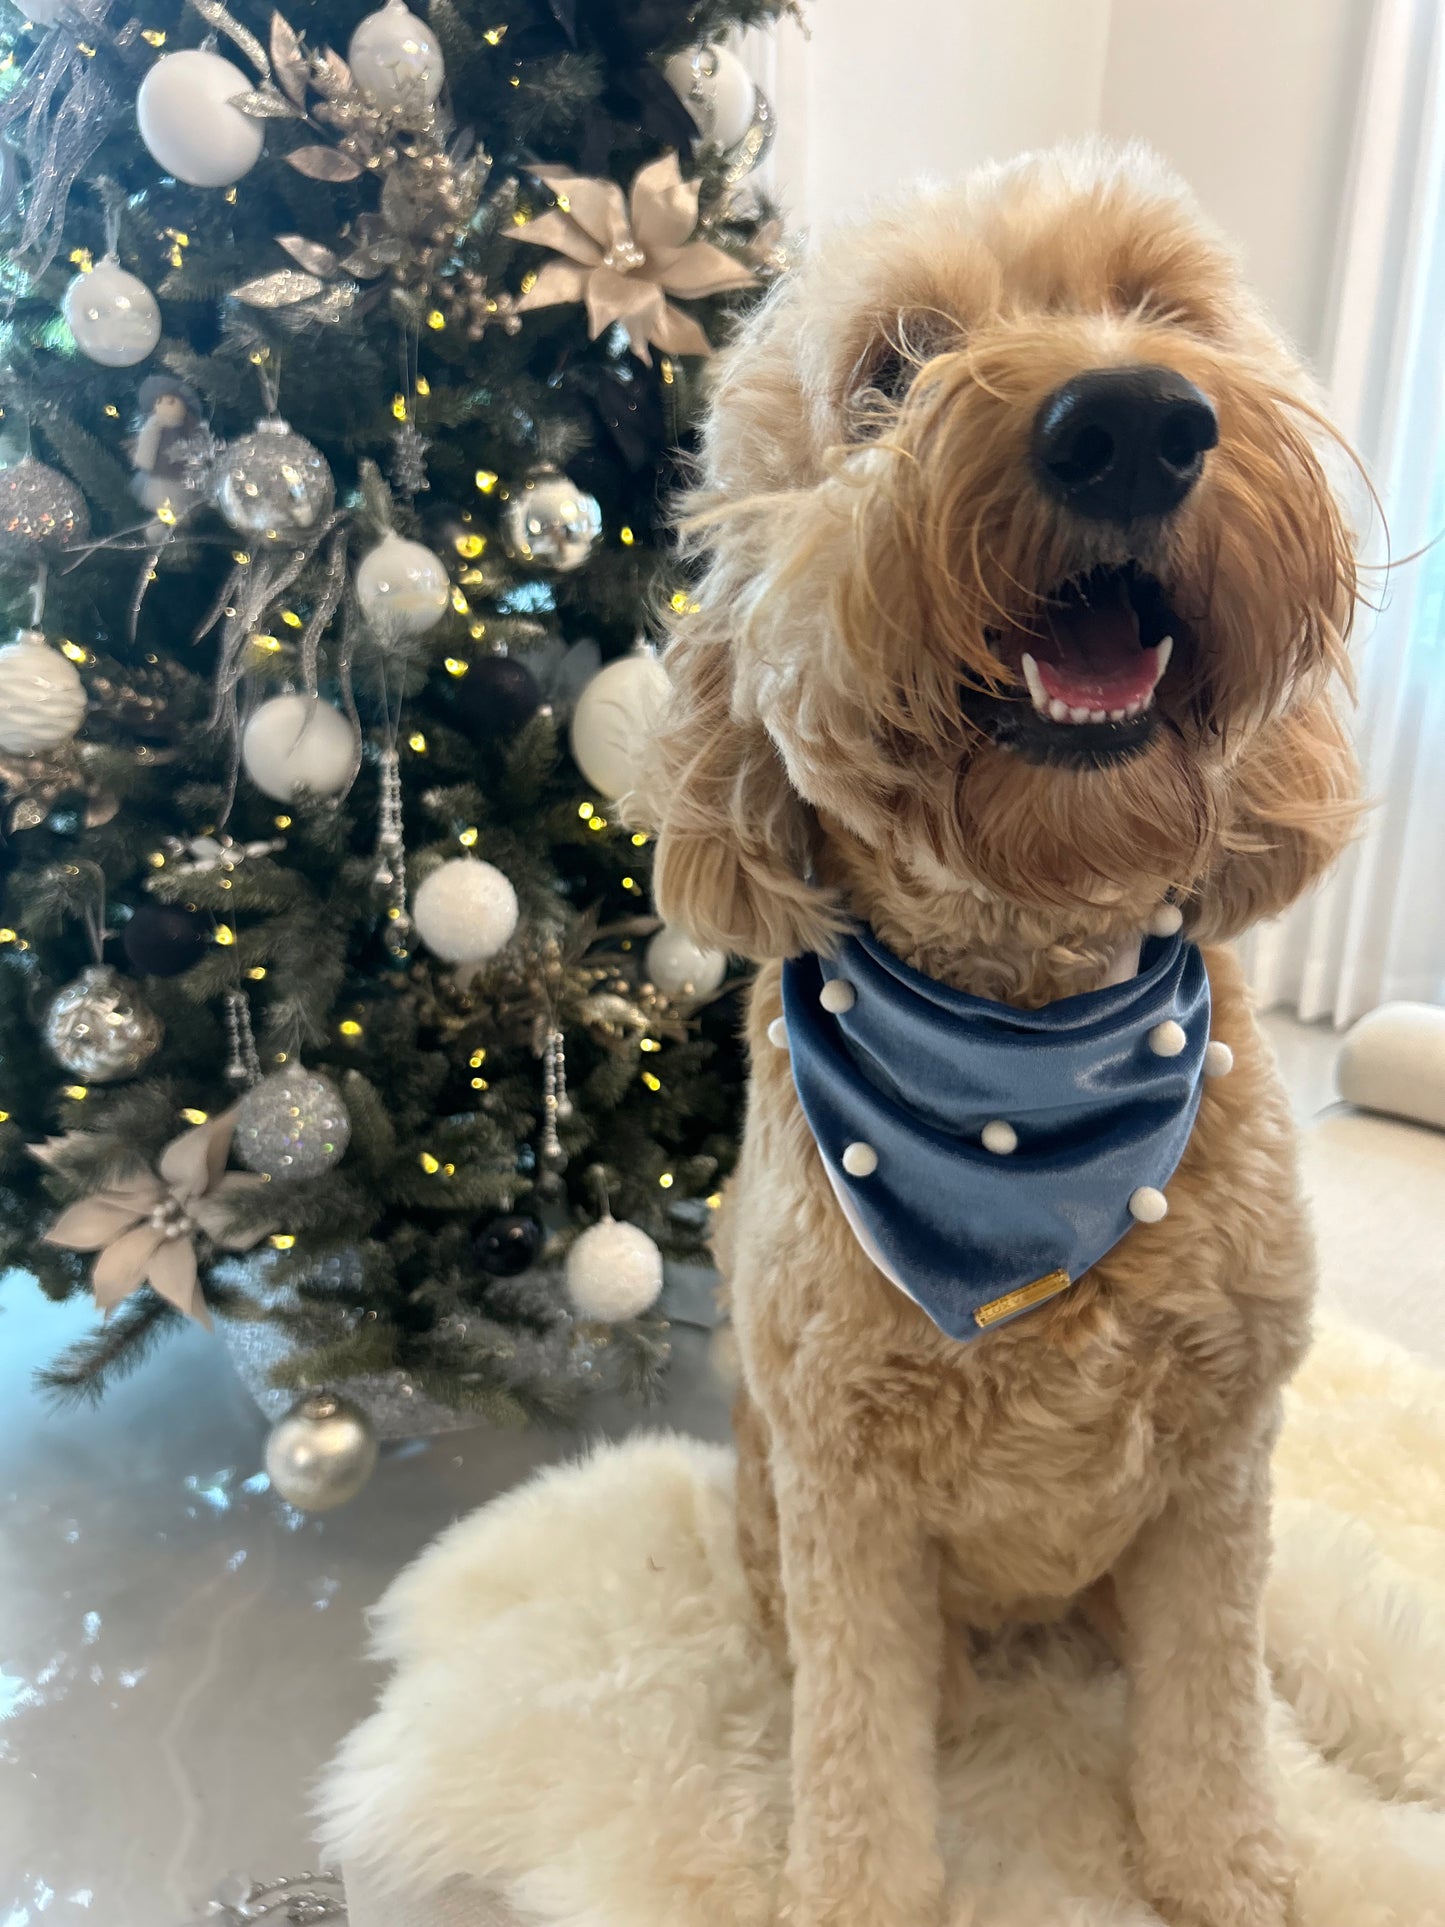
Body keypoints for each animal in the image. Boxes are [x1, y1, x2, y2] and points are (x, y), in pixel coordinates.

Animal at [647, 146, 1371, 1927]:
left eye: (1165, 308)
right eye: (893, 366)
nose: (1131, 419)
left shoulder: (1219, 1468)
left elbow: (1211, 1722)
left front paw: (1233, 1872)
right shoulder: (844, 1502)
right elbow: (856, 1770)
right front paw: (853, 1886)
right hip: (775, 1505)